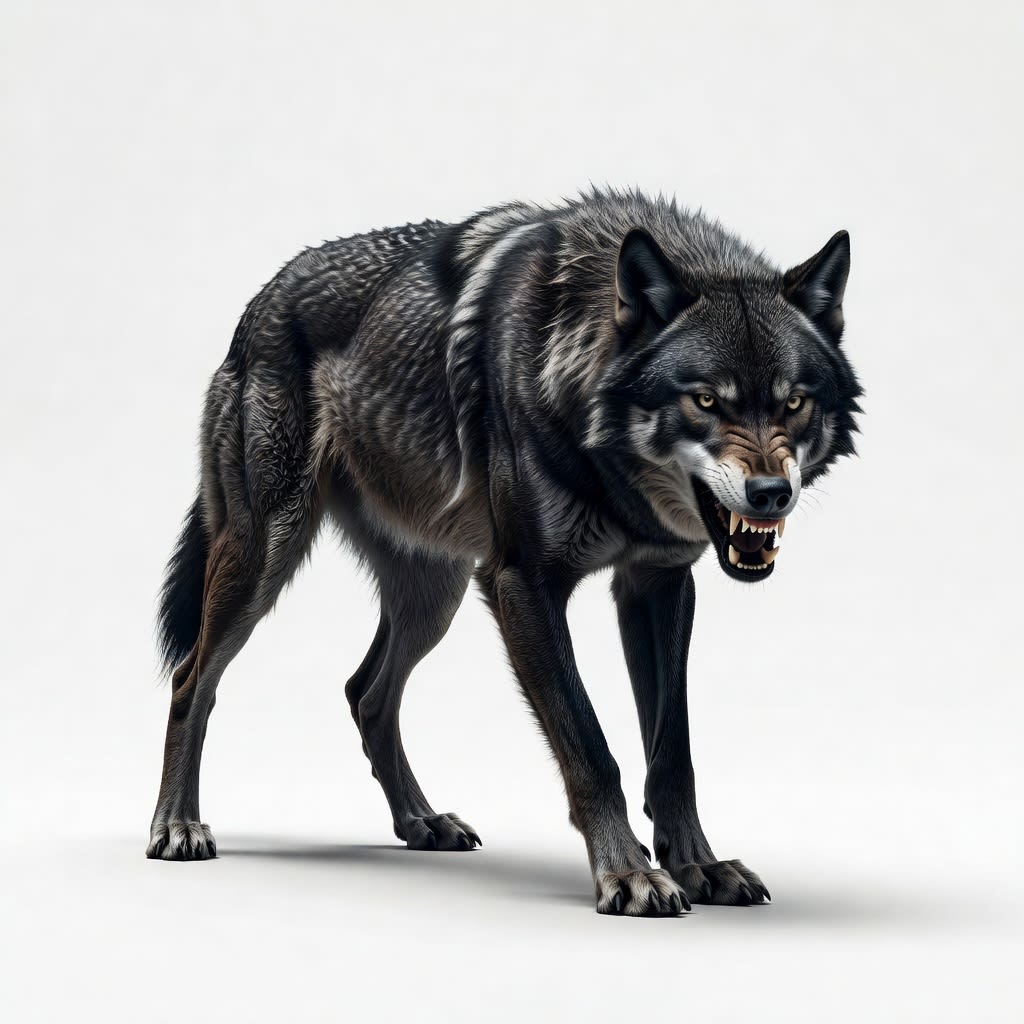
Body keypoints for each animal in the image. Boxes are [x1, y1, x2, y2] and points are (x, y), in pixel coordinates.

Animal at [149, 190, 862, 916]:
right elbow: (591, 746)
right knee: (192, 678)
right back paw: (177, 826)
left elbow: (672, 753)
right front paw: (628, 874)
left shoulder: (657, 582)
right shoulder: (524, 583)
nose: (771, 494)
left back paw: (421, 822)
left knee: (365, 692)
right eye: (707, 400)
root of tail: (260, 302)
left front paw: (698, 865)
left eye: (794, 402)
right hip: (267, 558)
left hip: (437, 597)